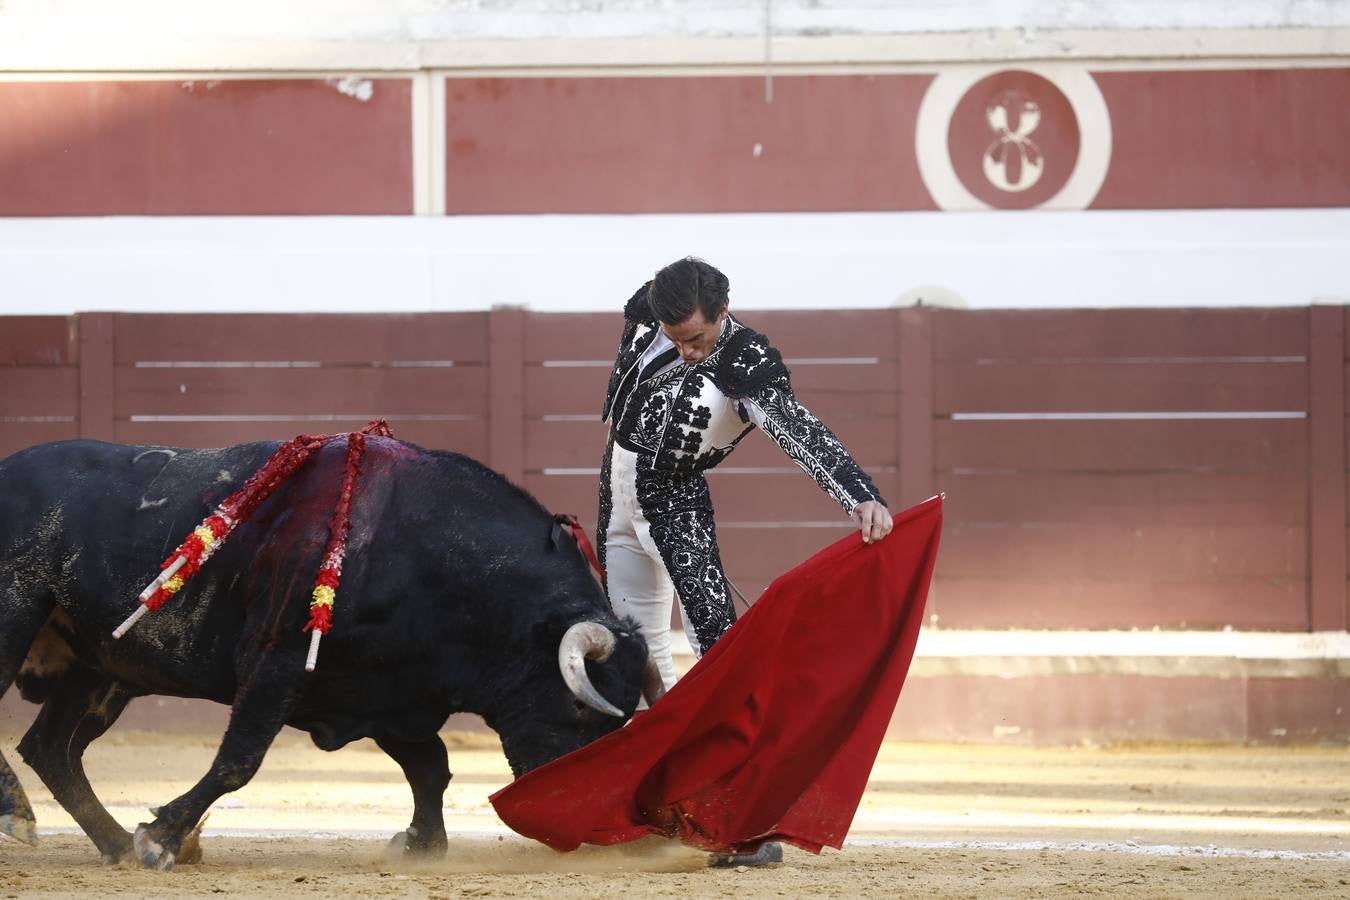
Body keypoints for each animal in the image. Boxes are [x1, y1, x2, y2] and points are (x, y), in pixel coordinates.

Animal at [0, 439, 658, 868]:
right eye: (579, 709)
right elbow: (239, 758)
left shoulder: (391, 696)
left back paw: (109, 843)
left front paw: (420, 845)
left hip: (100, 668)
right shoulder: (277, 660)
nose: (580, 823)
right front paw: (162, 836)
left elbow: (431, 767)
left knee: (51, 749)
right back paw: (33, 820)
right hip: (16, 619)